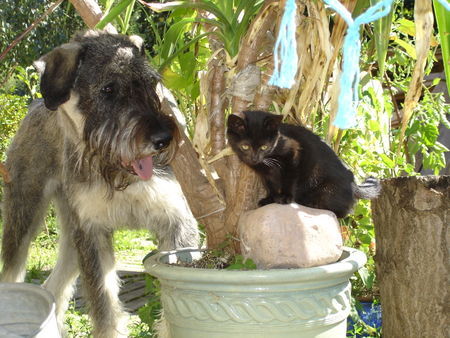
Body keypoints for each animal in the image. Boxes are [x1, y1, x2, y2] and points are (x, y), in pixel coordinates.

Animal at [0, 30, 199, 336]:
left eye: (151, 83)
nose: (163, 138)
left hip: (71, 239)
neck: (118, 178)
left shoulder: (177, 224)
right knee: (13, 276)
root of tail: (35, 104)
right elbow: (104, 306)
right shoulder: (92, 234)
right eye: (108, 89)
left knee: (53, 287)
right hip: (25, 217)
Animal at [229, 109, 380, 218]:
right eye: (245, 146)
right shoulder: (265, 174)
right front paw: (270, 199)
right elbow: (270, 185)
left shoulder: (293, 153)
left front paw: (285, 197)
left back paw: (309, 203)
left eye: (264, 147)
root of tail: (354, 185)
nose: (254, 158)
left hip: (327, 189)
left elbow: (289, 179)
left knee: (341, 212)